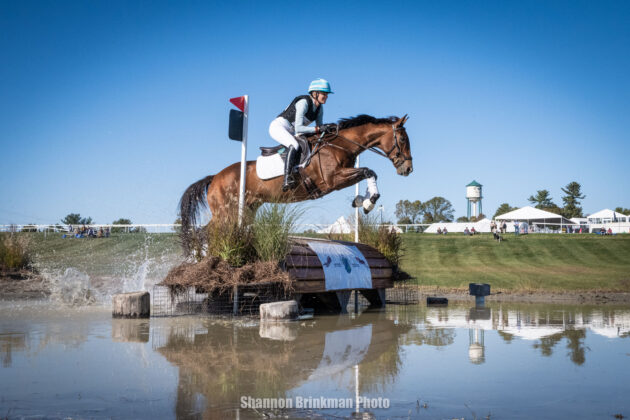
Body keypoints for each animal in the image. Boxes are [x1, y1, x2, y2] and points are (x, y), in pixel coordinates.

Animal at [179, 114, 414, 253]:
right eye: (403, 140)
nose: (408, 169)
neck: (339, 144)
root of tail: (215, 177)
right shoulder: (334, 179)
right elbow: (368, 171)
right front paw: (369, 201)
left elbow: (368, 173)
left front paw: (361, 201)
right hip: (226, 213)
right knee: (205, 233)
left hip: (245, 211)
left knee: (206, 232)